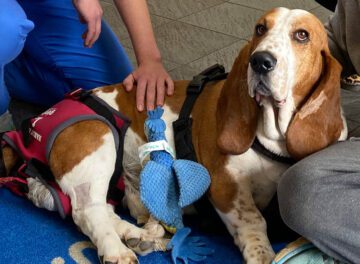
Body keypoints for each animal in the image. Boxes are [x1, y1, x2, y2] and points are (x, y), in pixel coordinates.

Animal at [1, 6, 348, 264]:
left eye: (302, 35)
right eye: (260, 29)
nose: (260, 61)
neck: (272, 134)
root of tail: (36, 121)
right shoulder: (225, 185)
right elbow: (253, 222)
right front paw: (262, 254)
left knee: (103, 208)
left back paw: (137, 235)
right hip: (99, 141)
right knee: (87, 211)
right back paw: (117, 250)